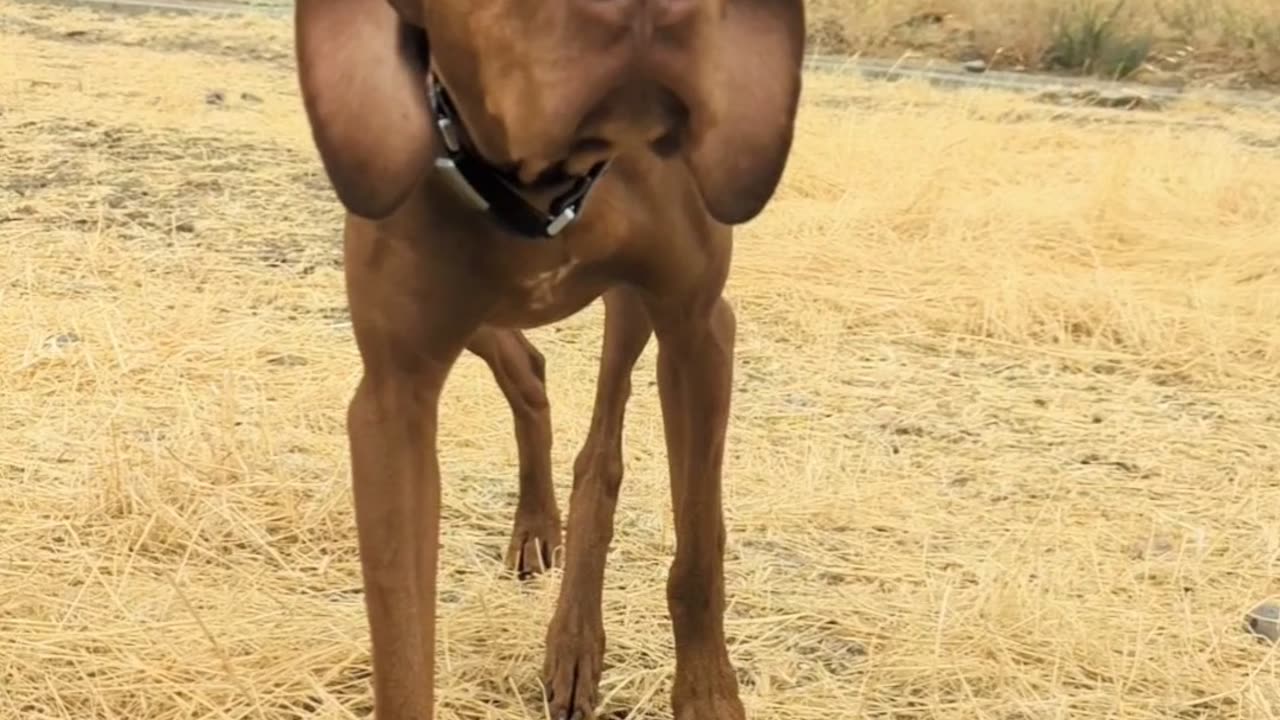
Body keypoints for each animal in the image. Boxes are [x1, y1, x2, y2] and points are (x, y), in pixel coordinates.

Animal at [294, 0, 803, 712]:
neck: (543, 193)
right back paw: (540, 539)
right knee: (529, 373)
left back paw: (574, 637)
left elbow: (700, 549)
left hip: (634, 310)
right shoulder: (393, 400)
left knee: (600, 452)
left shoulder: (699, 328)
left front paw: (708, 695)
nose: (645, 18)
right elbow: (400, 647)